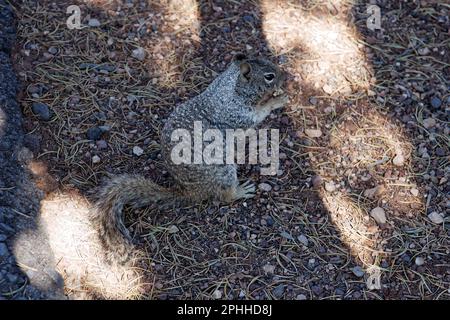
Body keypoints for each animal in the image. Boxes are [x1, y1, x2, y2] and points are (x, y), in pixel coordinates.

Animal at [91, 53, 288, 264]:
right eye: (269, 76)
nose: (286, 77)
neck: (231, 86)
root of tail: (190, 191)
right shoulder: (235, 113)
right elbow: (258, 114)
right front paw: (277, 100)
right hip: (222, 169)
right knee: (224, 195)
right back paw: (240, 191)